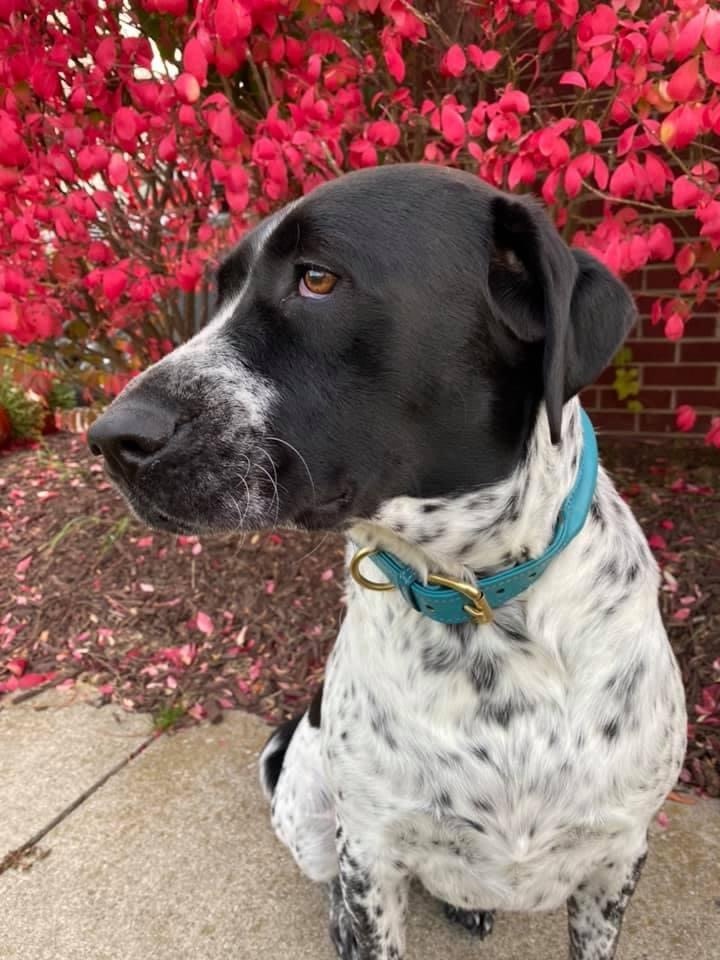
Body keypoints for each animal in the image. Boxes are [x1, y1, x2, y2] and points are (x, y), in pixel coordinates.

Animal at [88, 165, 688, 960]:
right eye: (220, 293)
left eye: (317, 278)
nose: (109, 439)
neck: (475, 600)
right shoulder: (369, 856)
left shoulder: (616, 860)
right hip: (314, 818)